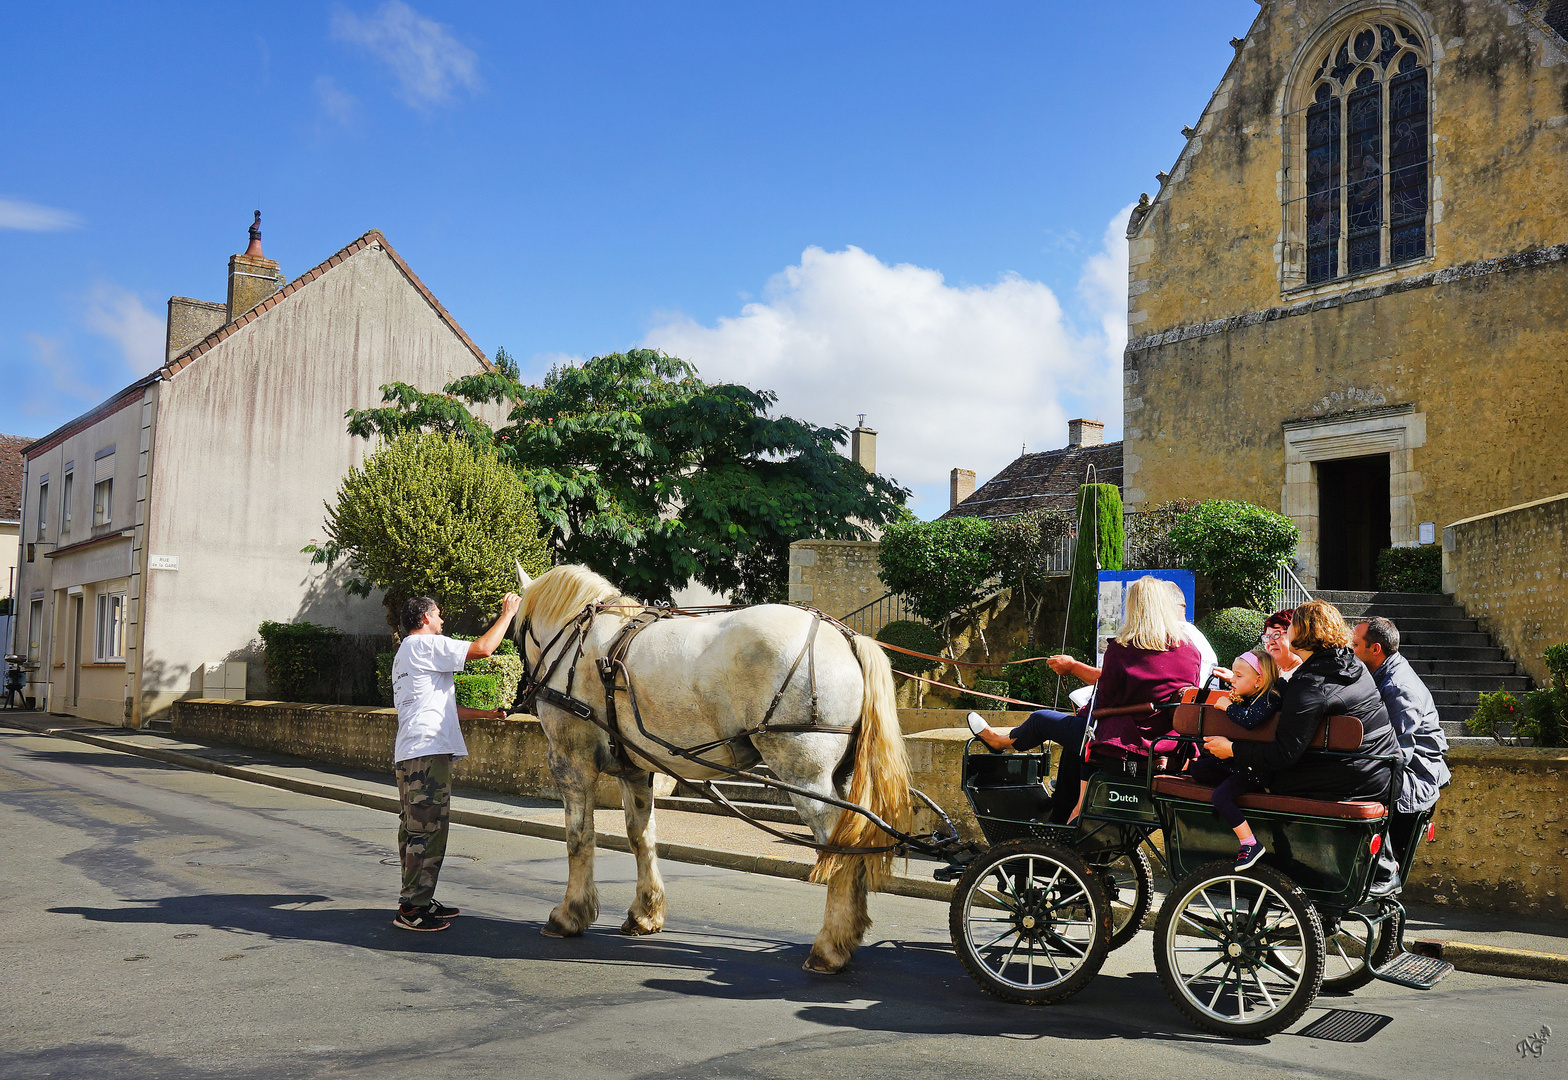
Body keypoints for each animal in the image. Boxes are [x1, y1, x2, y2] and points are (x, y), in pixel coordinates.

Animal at [514, 561, 915, 971]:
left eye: (517, 631)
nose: (523, 690)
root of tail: (846, 636)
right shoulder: (634, 769)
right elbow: (641, 836)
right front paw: (646, 912)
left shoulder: (571, 762)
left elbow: (579, 838)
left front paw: (569, 914)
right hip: (840, 777)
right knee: (858, 839)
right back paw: (849, 932)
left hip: (806, 776)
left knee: (838, 847)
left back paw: (830, 947)